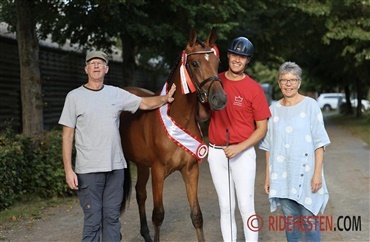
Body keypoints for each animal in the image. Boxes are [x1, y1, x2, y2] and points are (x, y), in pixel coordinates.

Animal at [120, 28, 227, 242]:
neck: (179, 119)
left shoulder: (191, 170)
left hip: (142, 164)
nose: (219, 99)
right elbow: (158, 215)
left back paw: (145, 234)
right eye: (195, 63)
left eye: (217, 62)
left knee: (140, 193)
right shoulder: (158, 172)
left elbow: (197, 215)